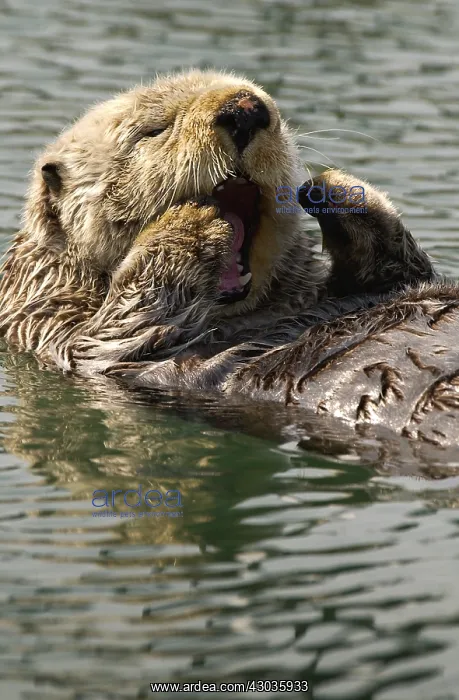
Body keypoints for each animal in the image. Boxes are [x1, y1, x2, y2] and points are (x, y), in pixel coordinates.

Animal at [0, 69, 457, 446]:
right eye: (152, 130)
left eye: (265, 100)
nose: (245, 109)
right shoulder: (56, 332)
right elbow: (111, 337)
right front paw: (191, 224)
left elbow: (402, 272)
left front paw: (336, 186)